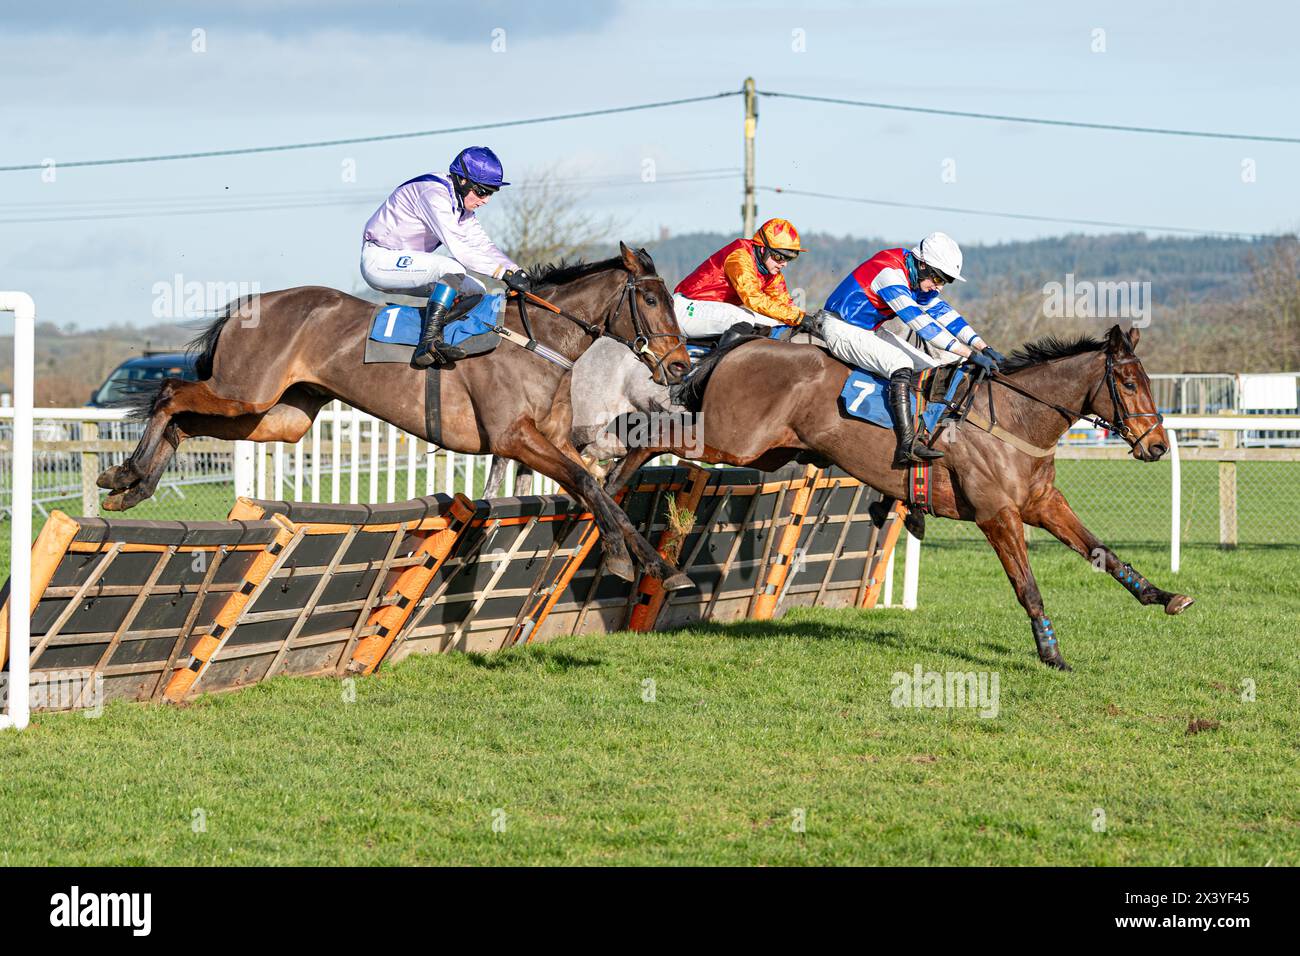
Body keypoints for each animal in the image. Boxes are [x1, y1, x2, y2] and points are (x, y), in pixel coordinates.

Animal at [98, 244, 702, 590]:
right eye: (652, 300)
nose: (678, 365)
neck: (538, 341)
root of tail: (246, 305)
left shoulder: (553, 440)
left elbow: (606, 490)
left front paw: (660, 568)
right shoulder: (514, 439)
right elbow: (589, 484)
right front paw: (624, 559)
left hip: (276, 415)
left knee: (185, 417)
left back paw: (133, 483)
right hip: (245, 392)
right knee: (171, 392)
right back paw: (127, 477)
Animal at [598, 325, 1190, 671]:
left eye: (1147, 381)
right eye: (1129, 383)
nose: (1158, 445)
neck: (1016, 416)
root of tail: (743, 344)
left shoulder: (1042, 503)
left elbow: (1103, 552)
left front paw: (1162, 595)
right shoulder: (997, 514)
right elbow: (1027, 587)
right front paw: (1051, 653)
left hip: (765, 450)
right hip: (731, 437)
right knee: (646, 432)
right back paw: (611, 498)